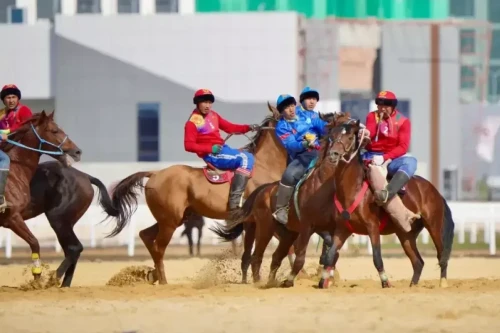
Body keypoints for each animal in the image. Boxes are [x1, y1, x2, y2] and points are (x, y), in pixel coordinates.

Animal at [0, 111, 81, 278]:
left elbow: (34, 243)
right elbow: (34, 242)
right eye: (55, 130)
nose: (77, 151)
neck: (15, 170)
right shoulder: (12, 217)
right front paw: (37, 275)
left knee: (73, 248)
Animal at [318, 113, 456, 288]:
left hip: (434, 226)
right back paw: (413, 286)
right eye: (332, 135)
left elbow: (377, 257)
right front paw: (323, 281)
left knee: (441, 255)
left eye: (349, 137)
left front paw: (385, 282)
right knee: (418, 262)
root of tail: (434, 190)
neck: (353, 190)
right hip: (405, 234)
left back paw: (443, 282)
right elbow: (330, 256)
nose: (333, 154)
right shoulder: (342, 229)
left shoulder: (372, 228)